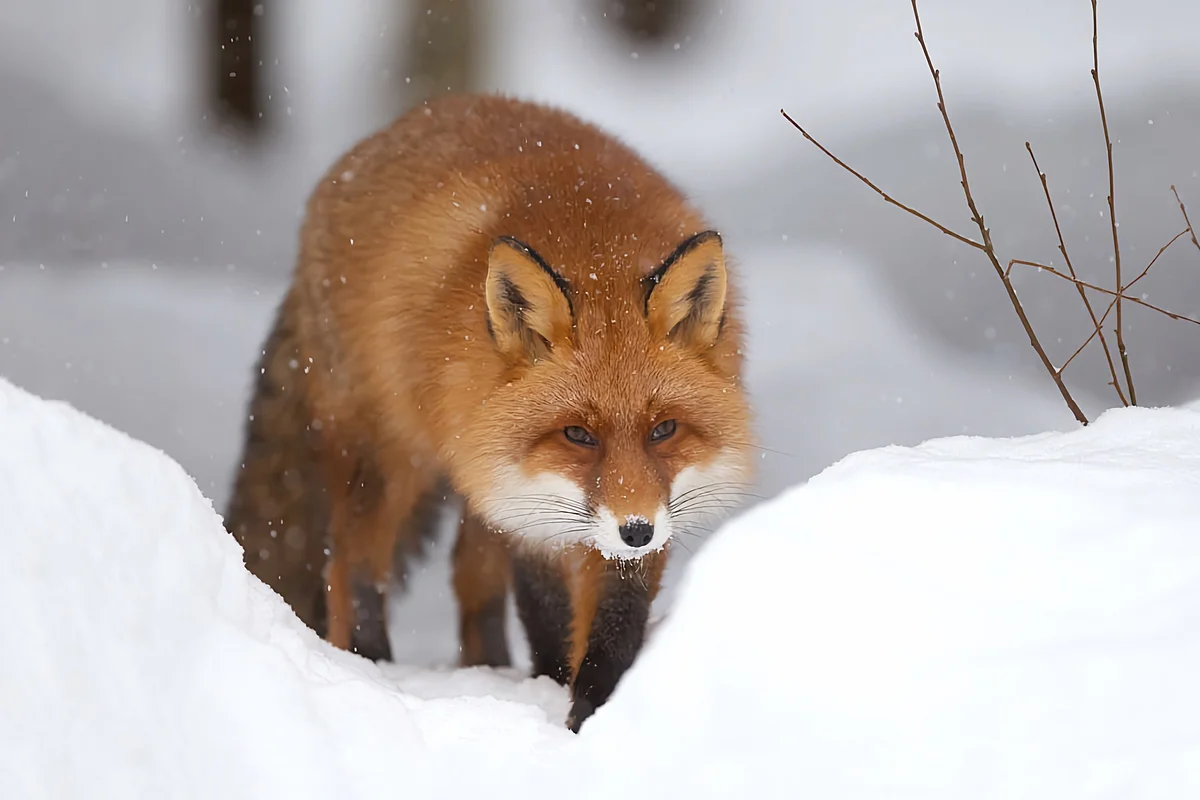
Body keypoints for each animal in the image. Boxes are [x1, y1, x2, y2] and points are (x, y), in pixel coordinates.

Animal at [225, 95, 748, 734]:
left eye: (664, 430)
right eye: (577, 434)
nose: (636, 530)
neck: (594, 243)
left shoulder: (627, 507)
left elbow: (615, 623)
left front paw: (595, 711)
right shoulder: (529, 506)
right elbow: (548, 612)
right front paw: (558, 694)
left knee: (468, 575)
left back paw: (489, 667)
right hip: (391, 459)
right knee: (349, 564)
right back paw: (374, 666)